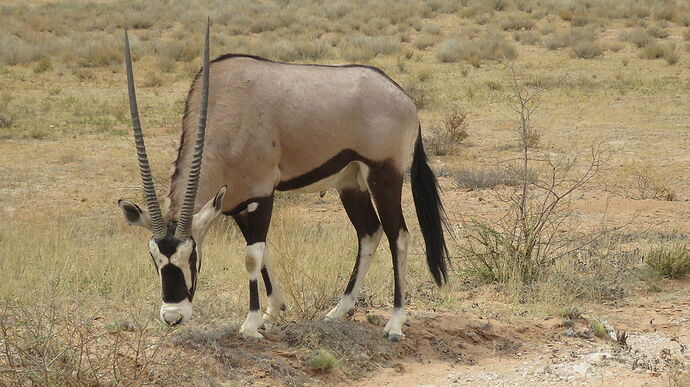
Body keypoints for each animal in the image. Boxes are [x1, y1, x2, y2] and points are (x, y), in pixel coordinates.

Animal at [117, 21, 452, 342]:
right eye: (154, 258)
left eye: (193, 254)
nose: (173, 317)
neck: (227, 110)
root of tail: (405, 98)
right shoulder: (236, 203)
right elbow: (261, 252)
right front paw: (273, 309)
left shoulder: (262, 194)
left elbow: (252, 256)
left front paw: (251, 324)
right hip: (351, 183)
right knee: (369, 232)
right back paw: (338, 310)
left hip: (384, 175)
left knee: (399, 236)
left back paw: (395, 323)